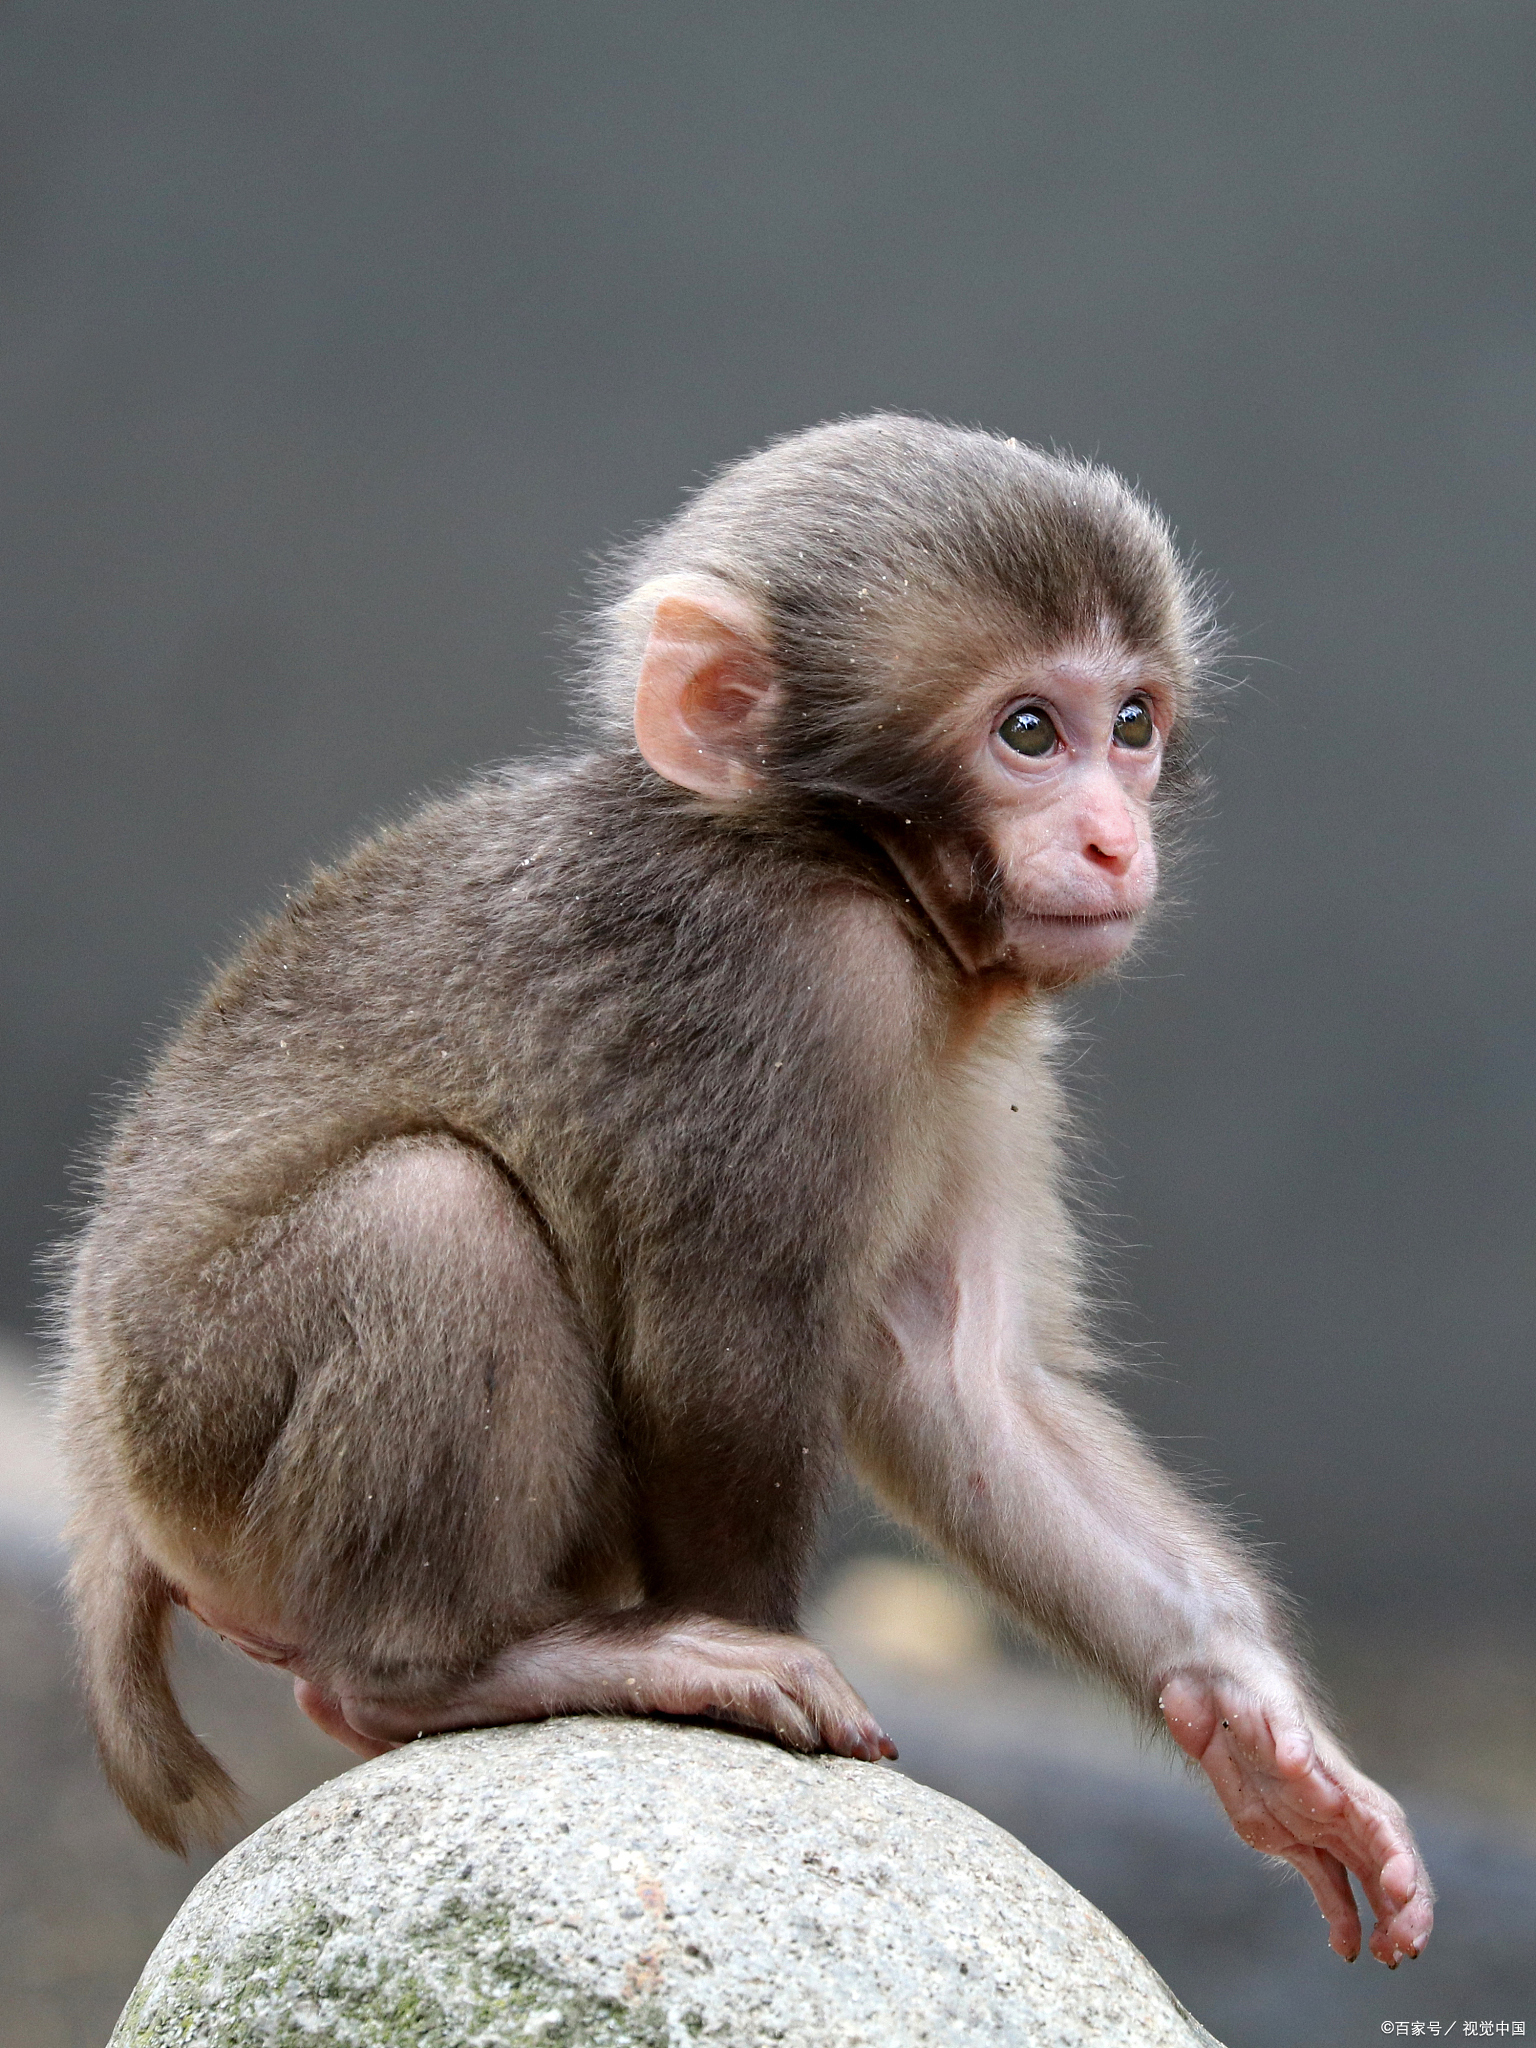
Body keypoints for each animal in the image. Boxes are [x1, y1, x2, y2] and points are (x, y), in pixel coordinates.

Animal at [57, 415, 1433, 1966]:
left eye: (1131, 724)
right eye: (1030, 732)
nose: (1112, 841)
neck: (843, 857)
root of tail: (104, 1457)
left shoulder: (979, 1039)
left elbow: (958, 1380)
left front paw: (1257, 1726)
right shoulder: (798, 984)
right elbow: (717, 1362)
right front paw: (746, 1666)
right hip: (203, 1427)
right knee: (432, 1211)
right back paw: (430, 1678)